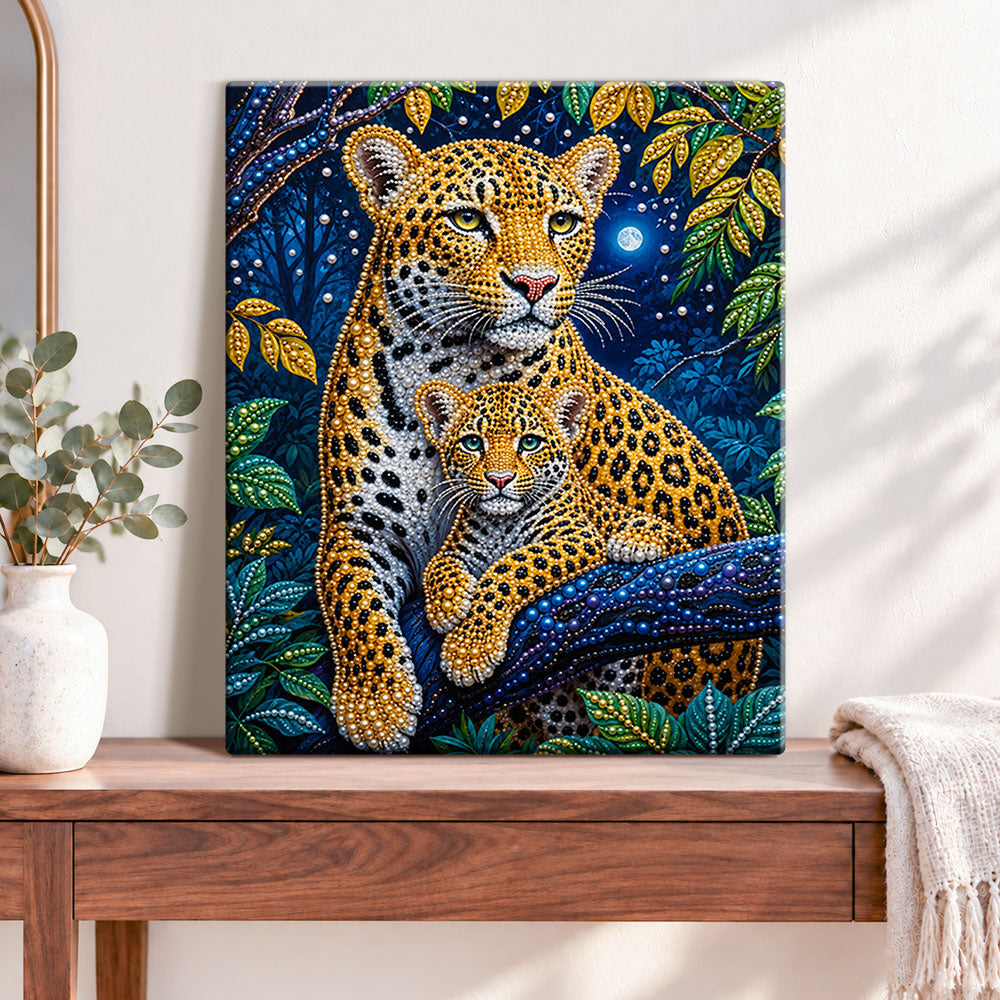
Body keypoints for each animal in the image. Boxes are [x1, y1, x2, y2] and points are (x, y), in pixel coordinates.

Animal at [415, 379, 682, 688]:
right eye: (473, 443)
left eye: (530, 443)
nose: (499, 479)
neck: (501, 524)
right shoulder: (459, 547)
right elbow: (438, 564)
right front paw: (447, 604)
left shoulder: (578, 537)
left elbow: (509, 567)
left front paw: (469, 649)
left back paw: (633, 541)